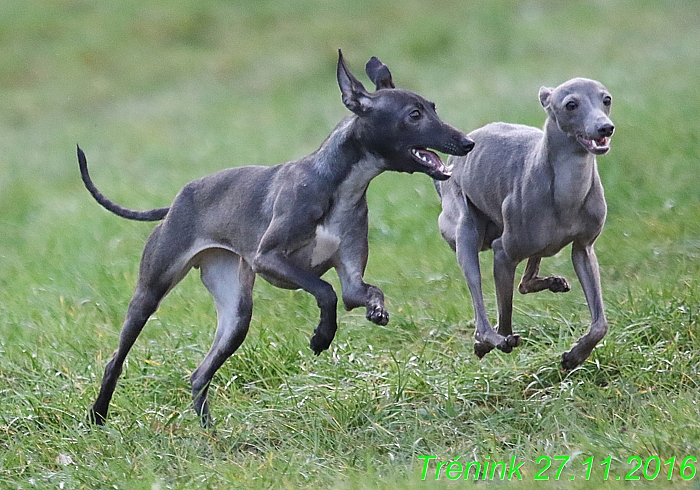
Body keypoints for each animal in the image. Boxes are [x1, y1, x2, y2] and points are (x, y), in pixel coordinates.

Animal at [80, 49, 476, 424]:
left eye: (433, 107)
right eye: (414, 115)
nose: (467, 143)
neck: (337, 185)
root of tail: (175, 203)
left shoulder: (352, 279)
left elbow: (360, 292)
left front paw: (374, 312)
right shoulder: (268, 258)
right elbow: (325, 290)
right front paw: (321, 336)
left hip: (236, 315)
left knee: (199, 375)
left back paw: (211, 434)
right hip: (150, 293)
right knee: (115, 360)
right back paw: (98, 416)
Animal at [434, 77, 616, 368]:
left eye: (606, 99)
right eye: (571, 104)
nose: (605, 127)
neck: (567, 192)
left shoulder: (584, 248)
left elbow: (600, 324)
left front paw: (575, 355)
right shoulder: (503, 253)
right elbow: (505, 317)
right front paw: (495, 342)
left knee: (527, 278)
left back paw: (550, 283)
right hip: (465, 228)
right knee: (480, 310)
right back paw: (488, 339)